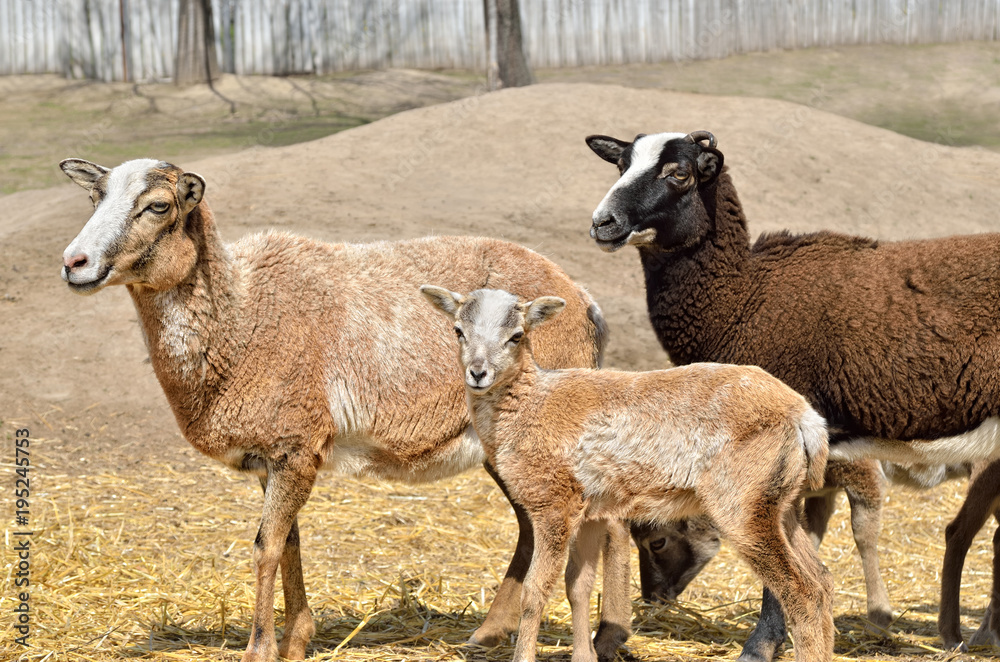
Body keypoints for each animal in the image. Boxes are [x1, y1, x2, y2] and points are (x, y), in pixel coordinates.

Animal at [57, 157, 631, 662]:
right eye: (95, 197)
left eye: (158, 205)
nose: (74, 263)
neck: (241, 313)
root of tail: (585, 301)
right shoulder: (275, 456)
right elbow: (289, 543)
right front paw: (296, 639)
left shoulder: (294, 445)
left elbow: (266, 546)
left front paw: (260, 648)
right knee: (533, 527)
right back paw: (489, 634)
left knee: (609, 522)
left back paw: (606, 636)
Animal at [420, 285, 835, 662]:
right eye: (458, 330)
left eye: (517, 336)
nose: (478, 373)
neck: (531, 405)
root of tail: (805, 418)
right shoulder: (590, 510)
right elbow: (578, 585)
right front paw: (583, 656)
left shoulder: (554, 504)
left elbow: (536, 591)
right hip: (780, 502)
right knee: (821, 581)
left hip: (742, 503)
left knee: (801, 592)